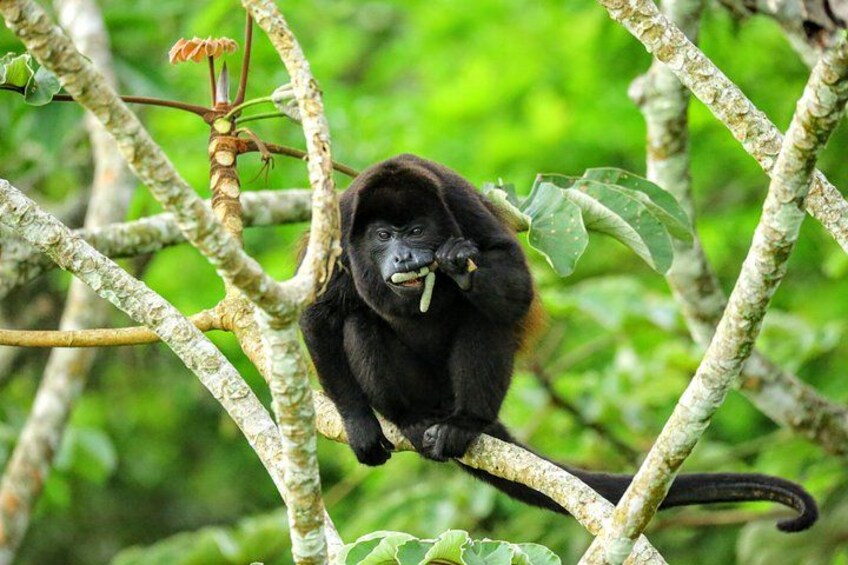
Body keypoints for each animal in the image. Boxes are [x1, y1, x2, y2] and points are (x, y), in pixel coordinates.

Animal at [299, 153, 817, 532]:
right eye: (383, 236)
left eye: (415, 231)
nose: (405, 256)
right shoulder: (341, 223)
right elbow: (317, 315)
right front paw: (360, 426)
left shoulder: (458, 199)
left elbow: (514, 280)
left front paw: (458, 261)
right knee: (358, 325)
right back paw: (410, 418)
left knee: (484, 321)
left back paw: (465, 423)